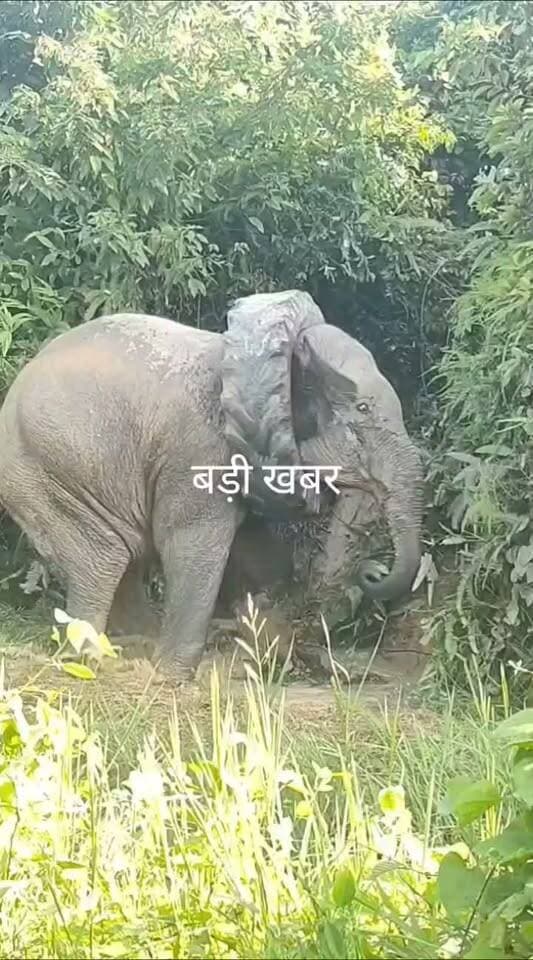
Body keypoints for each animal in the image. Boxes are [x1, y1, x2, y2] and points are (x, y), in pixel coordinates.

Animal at [0, 289, 424, 681]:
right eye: (363, 412)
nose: (372, 573)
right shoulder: (200, 450)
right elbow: (192, 541)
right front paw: (171, 677)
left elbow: (260, 556)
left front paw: (270, 656)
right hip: (45, 474)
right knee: (104, 557)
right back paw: (92, 660)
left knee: (125, 555)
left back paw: (132, 647)